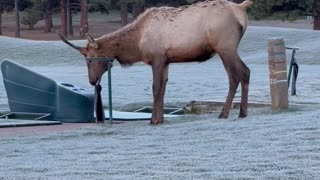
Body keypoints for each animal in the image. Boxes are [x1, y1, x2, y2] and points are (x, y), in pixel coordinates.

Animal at [59, 0, 252, 125]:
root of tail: (241, 9)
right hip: (224, 49)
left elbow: (156, 87)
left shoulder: (157, 57)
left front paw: (153, 119)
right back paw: (235, 112)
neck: (136, 43)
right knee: (237, 75)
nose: (92, 81)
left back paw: (234, 113)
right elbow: (164, 87)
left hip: (225, 47)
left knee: (241, 73)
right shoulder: (166, 60)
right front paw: (161, 118)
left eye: (89, 59)